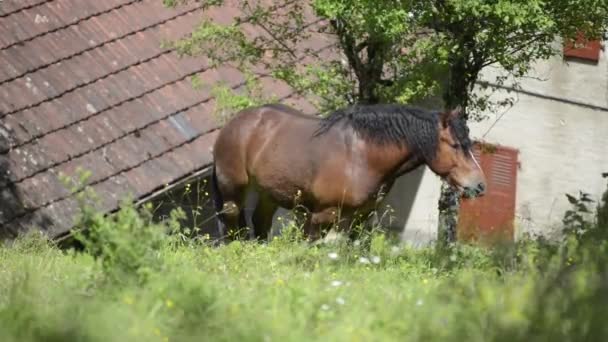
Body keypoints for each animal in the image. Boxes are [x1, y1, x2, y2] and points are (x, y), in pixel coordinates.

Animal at [211, 103, 486, 242]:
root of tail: (235, 122)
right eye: (456, 145)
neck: (361, 156)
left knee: (260, 222)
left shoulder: (362, 217)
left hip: (269, 193)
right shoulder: (323, 214)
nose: (480, 185)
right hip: (233, 190)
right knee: (233, 221)